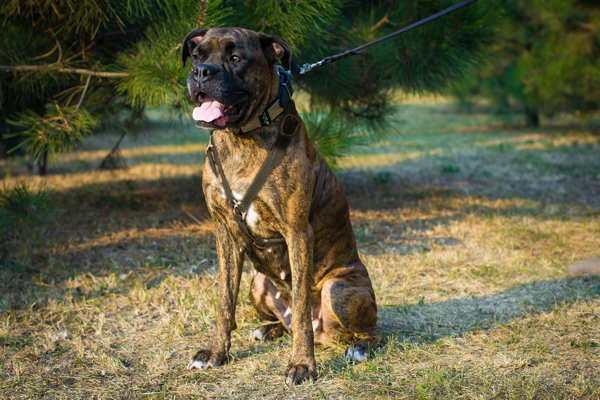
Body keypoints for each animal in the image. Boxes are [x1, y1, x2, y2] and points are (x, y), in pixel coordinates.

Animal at [180, 26, 382, 382]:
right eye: (196, 55)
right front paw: (217, 353)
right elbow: (224, 302)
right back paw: (269, 329)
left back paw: (361, 348)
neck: (240, 138)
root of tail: (327, 334)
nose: (202, 72)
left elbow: (300, 309)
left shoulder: (297, 234)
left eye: (236, 58)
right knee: (285, 321)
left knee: (372, 330)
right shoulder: (225, 234)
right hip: (258, 283)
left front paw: (302, 364)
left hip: (339, 289)